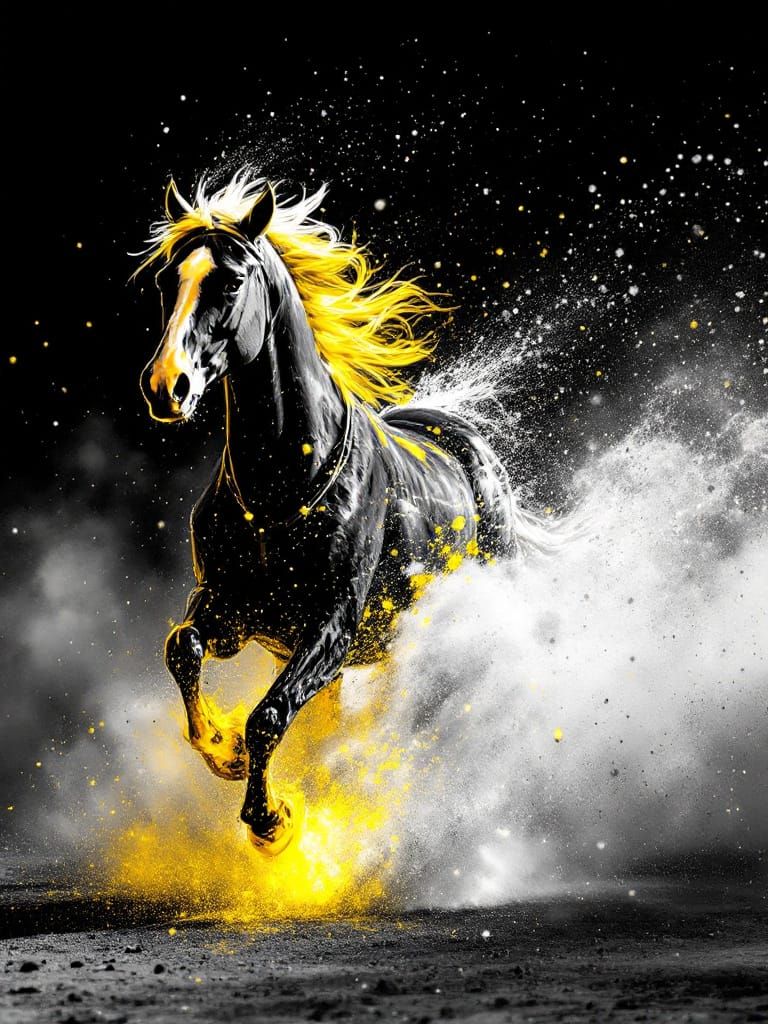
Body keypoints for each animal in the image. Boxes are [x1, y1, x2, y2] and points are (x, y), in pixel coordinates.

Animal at [135, 168, 543, 853]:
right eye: (169, 280)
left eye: (232, 280)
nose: (168, 386)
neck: (279, 492)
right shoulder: (231, 611)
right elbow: (182, 648)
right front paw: (222, 749)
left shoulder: (332, 626)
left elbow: (269, 714)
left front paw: (271, 821)